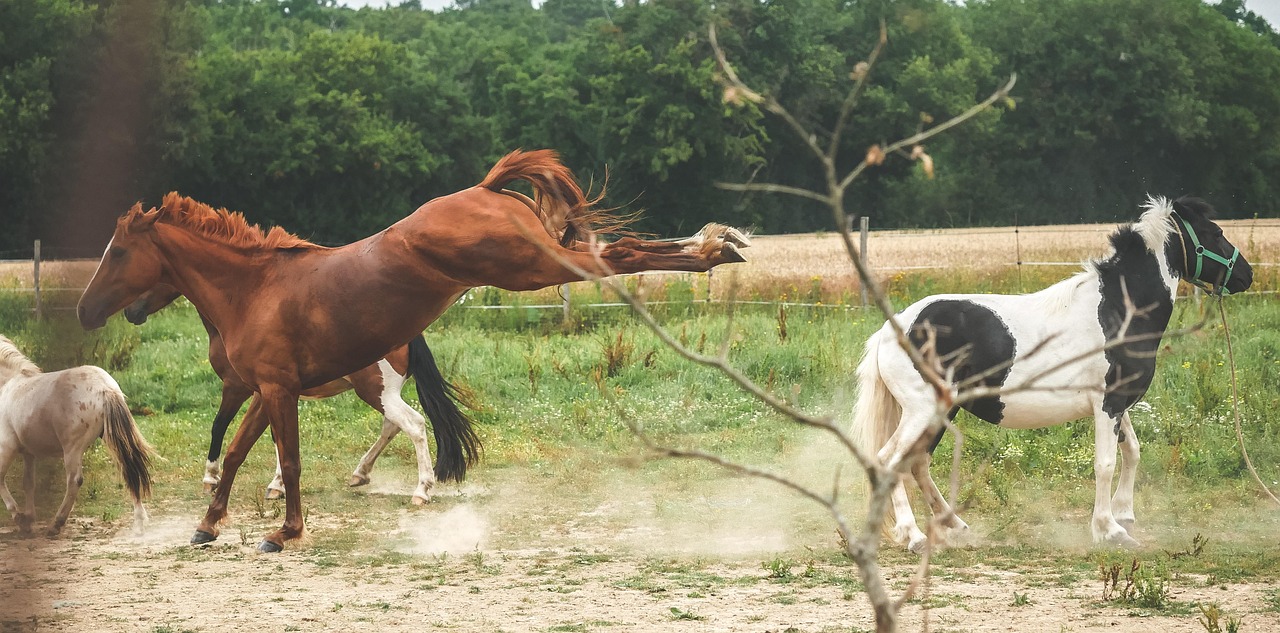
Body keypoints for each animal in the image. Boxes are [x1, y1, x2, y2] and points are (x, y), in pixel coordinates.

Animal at [0, 334, 155, 536]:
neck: (8, 385)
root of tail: (105, 389)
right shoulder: (28, 452)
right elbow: (28, 483)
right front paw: (28, 519)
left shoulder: (7, 446)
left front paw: (19, 517)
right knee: (130, 469)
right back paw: (139, 523)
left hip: (72, 448)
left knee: (74, 480)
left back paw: (56, 524)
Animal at [123, 284, 471, 505]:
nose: (130, 311)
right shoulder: (271, 394)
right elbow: (279, 438)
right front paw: (276, 486)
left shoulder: (238, 389)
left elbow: (219, 426)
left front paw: (212, 478)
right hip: (383, 394)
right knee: (393, 426)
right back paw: (360, 474)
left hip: (377, 392)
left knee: (414, 424)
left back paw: (421, 491)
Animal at [853, 196, 1252, 553]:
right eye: (1215, 232)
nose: (1246, 275)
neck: (1118, 312)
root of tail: (891, 329)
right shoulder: (1108, 404)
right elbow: (1105, 463)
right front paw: (1110, 531)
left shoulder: (1118, 404)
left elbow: (1133, 452)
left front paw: (1125, 516)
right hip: (921, 411)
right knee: (889, 462)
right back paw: (914, 536)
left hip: (941, 411)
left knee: (917, 463)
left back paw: (956, 526)